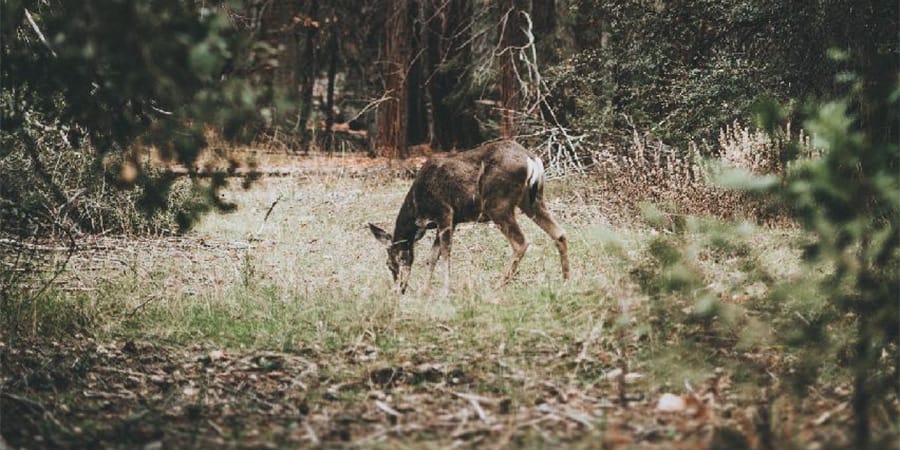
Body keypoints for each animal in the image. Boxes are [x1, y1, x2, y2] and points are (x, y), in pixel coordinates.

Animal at [368, 140, 569, 295]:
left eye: (391, 262)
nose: (400, 288)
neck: (417, 207)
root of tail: (532, 159)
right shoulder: (452, 220)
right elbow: (433, 256)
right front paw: (424, 291)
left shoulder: (444, 212)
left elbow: (445, 253)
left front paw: (445, 291)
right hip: (532, 200)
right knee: (559, 233)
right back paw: (566, 280)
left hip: (498, 203)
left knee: (521, 242)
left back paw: (497, 286)